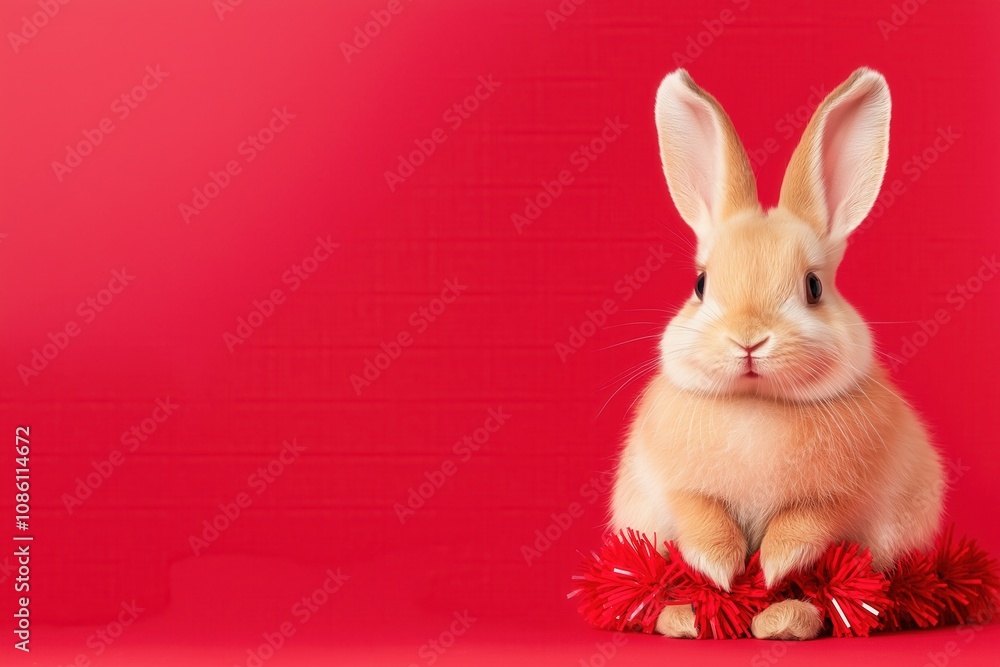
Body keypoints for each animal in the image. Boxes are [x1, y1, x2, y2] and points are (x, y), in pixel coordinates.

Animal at [609, 68, 945, 640]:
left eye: (813, 287)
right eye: (700, 284)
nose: (748, 339)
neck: (757, 402)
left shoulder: (841, 497)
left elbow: (805, 524)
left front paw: (770, 566)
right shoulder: (674, 487)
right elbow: (701, 517)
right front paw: (722, 568)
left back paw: (780, 621)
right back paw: (685, 620)